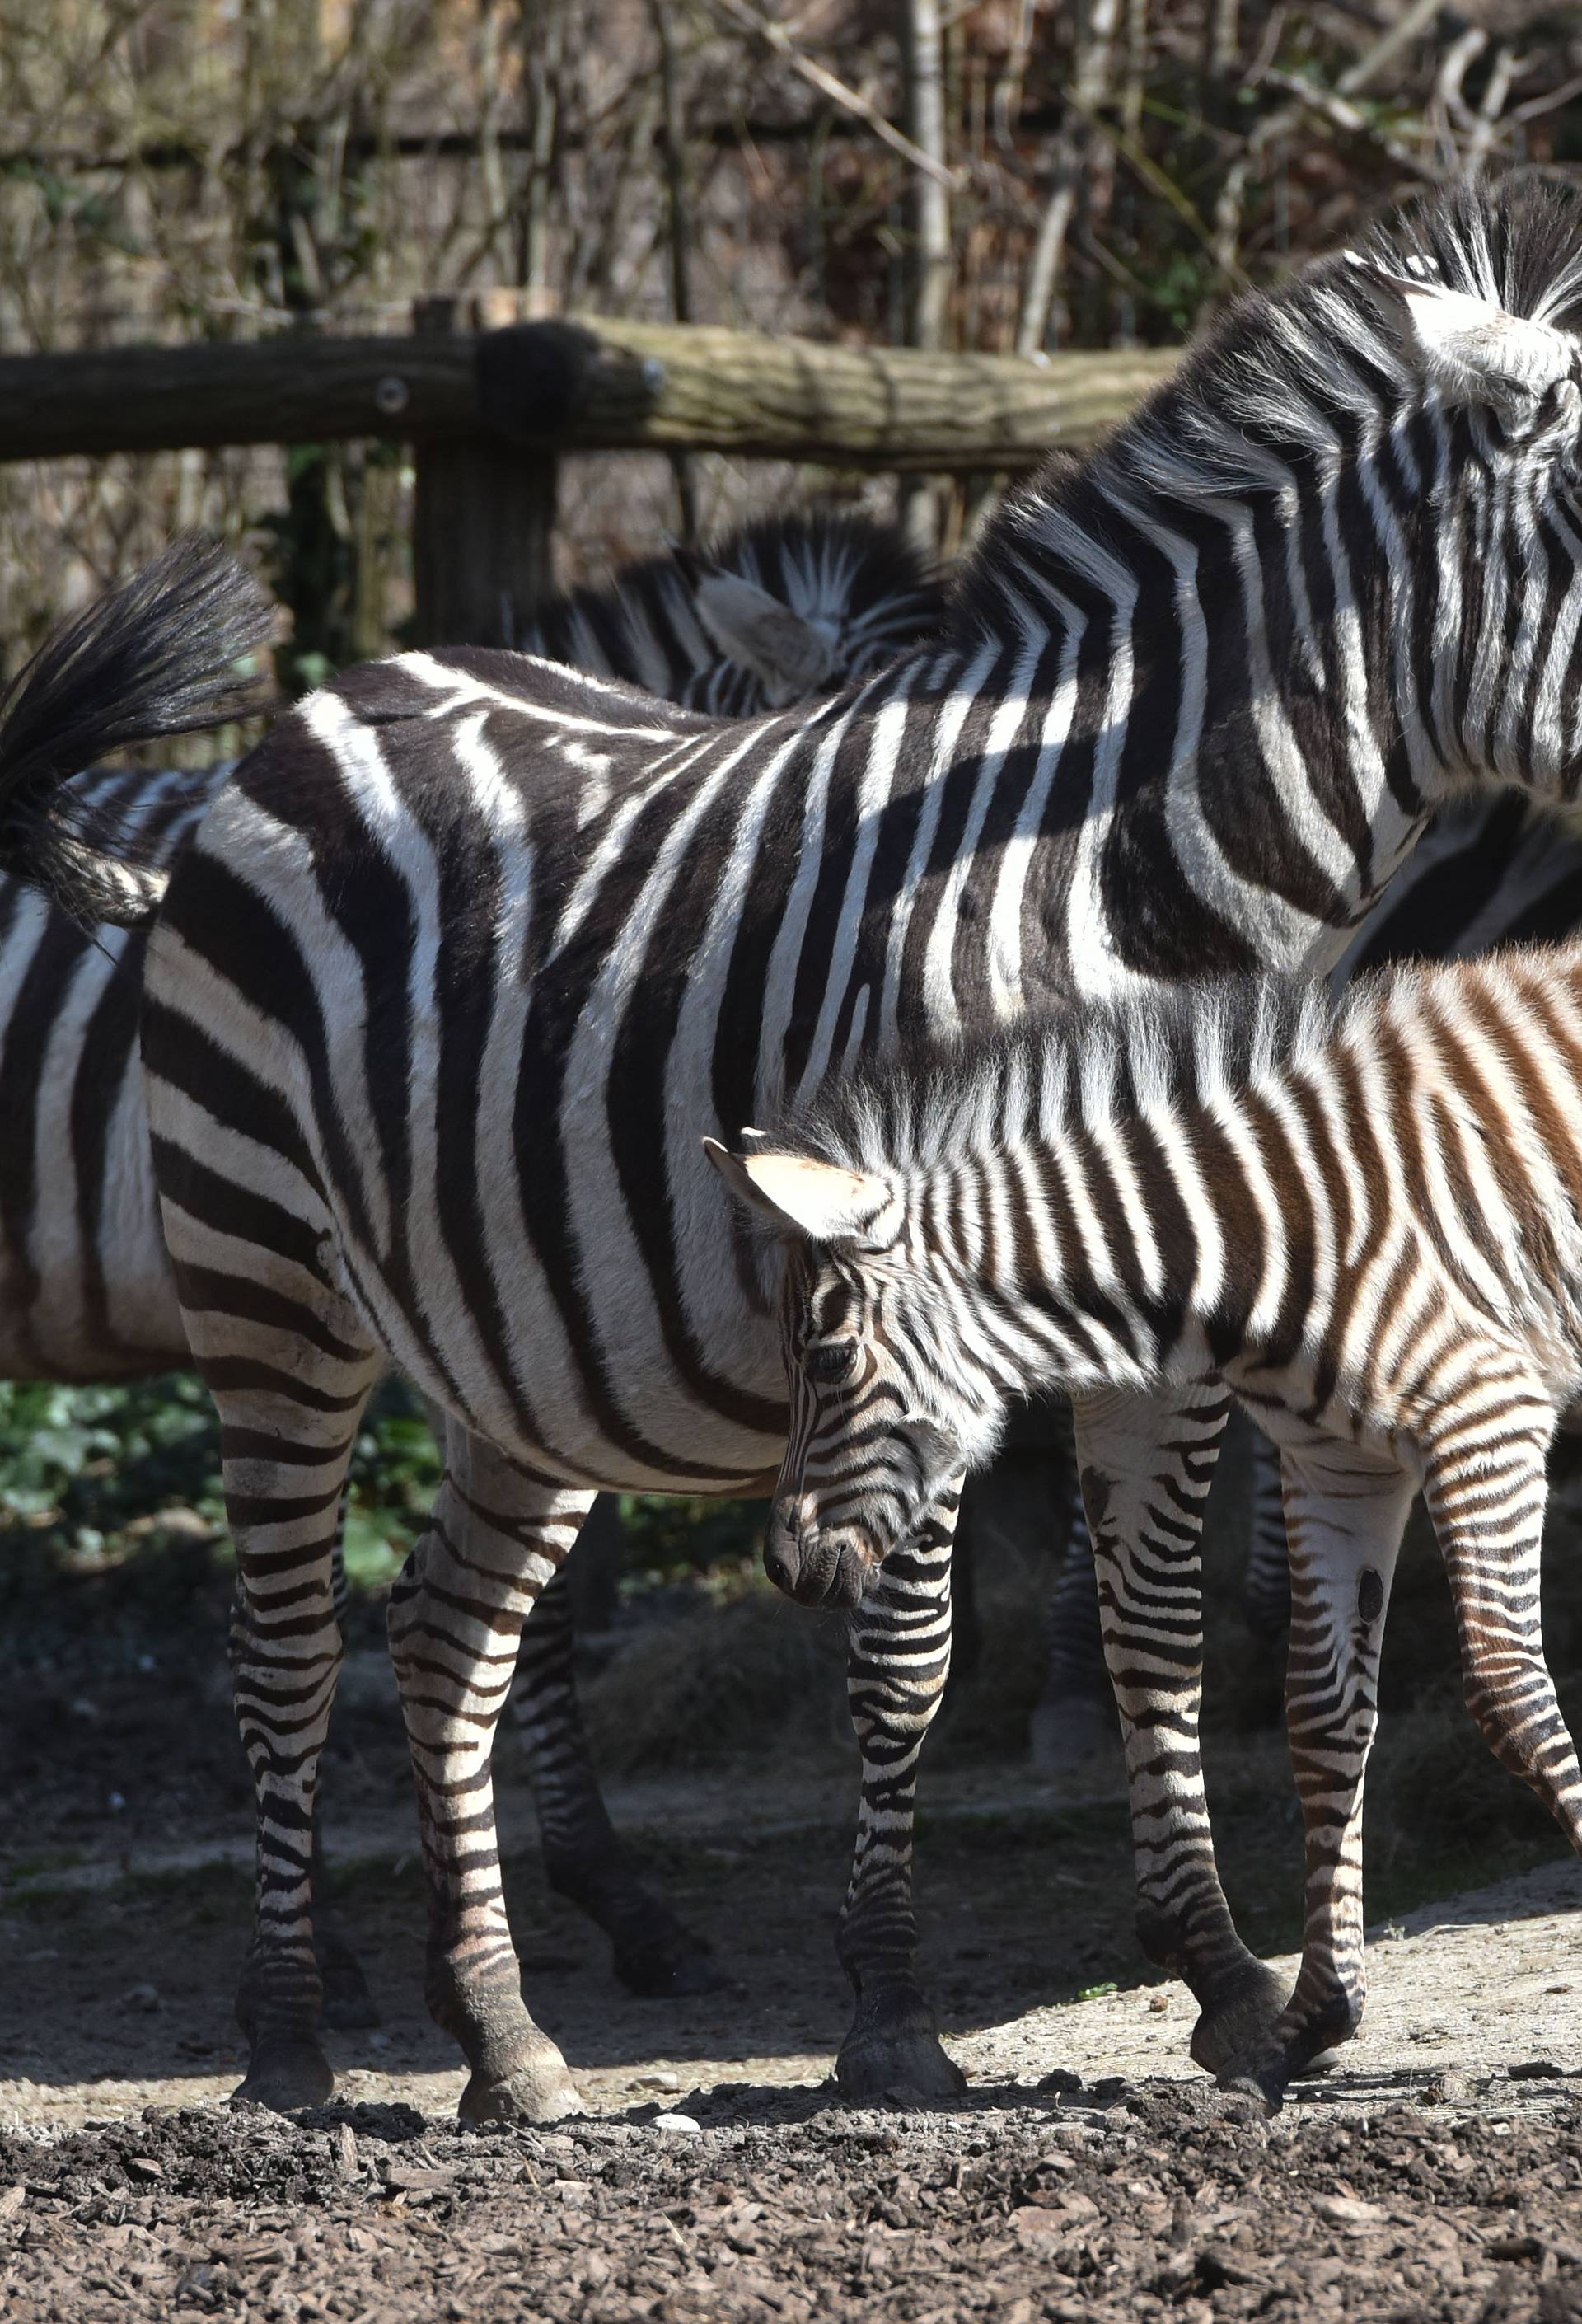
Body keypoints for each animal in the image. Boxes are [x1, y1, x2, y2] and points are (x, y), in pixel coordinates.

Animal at [706, 939, 1582, 2110]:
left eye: (833, 1359)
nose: (785, 1567)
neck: (1264, 1224)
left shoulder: (1488, 1415)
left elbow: (1507, 1695)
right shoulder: (1340, 1462)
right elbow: (1324, 1720)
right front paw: (1305, 2028)